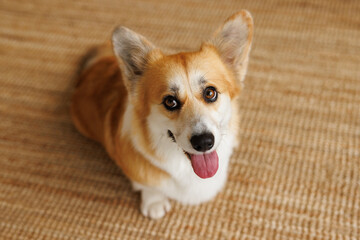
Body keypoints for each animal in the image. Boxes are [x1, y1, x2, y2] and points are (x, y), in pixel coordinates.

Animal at [71, 10, 253, 218]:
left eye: (210, 93)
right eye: (170, 101)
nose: (204, 142)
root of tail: (85, 74)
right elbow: (146, 185)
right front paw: (154, 202)